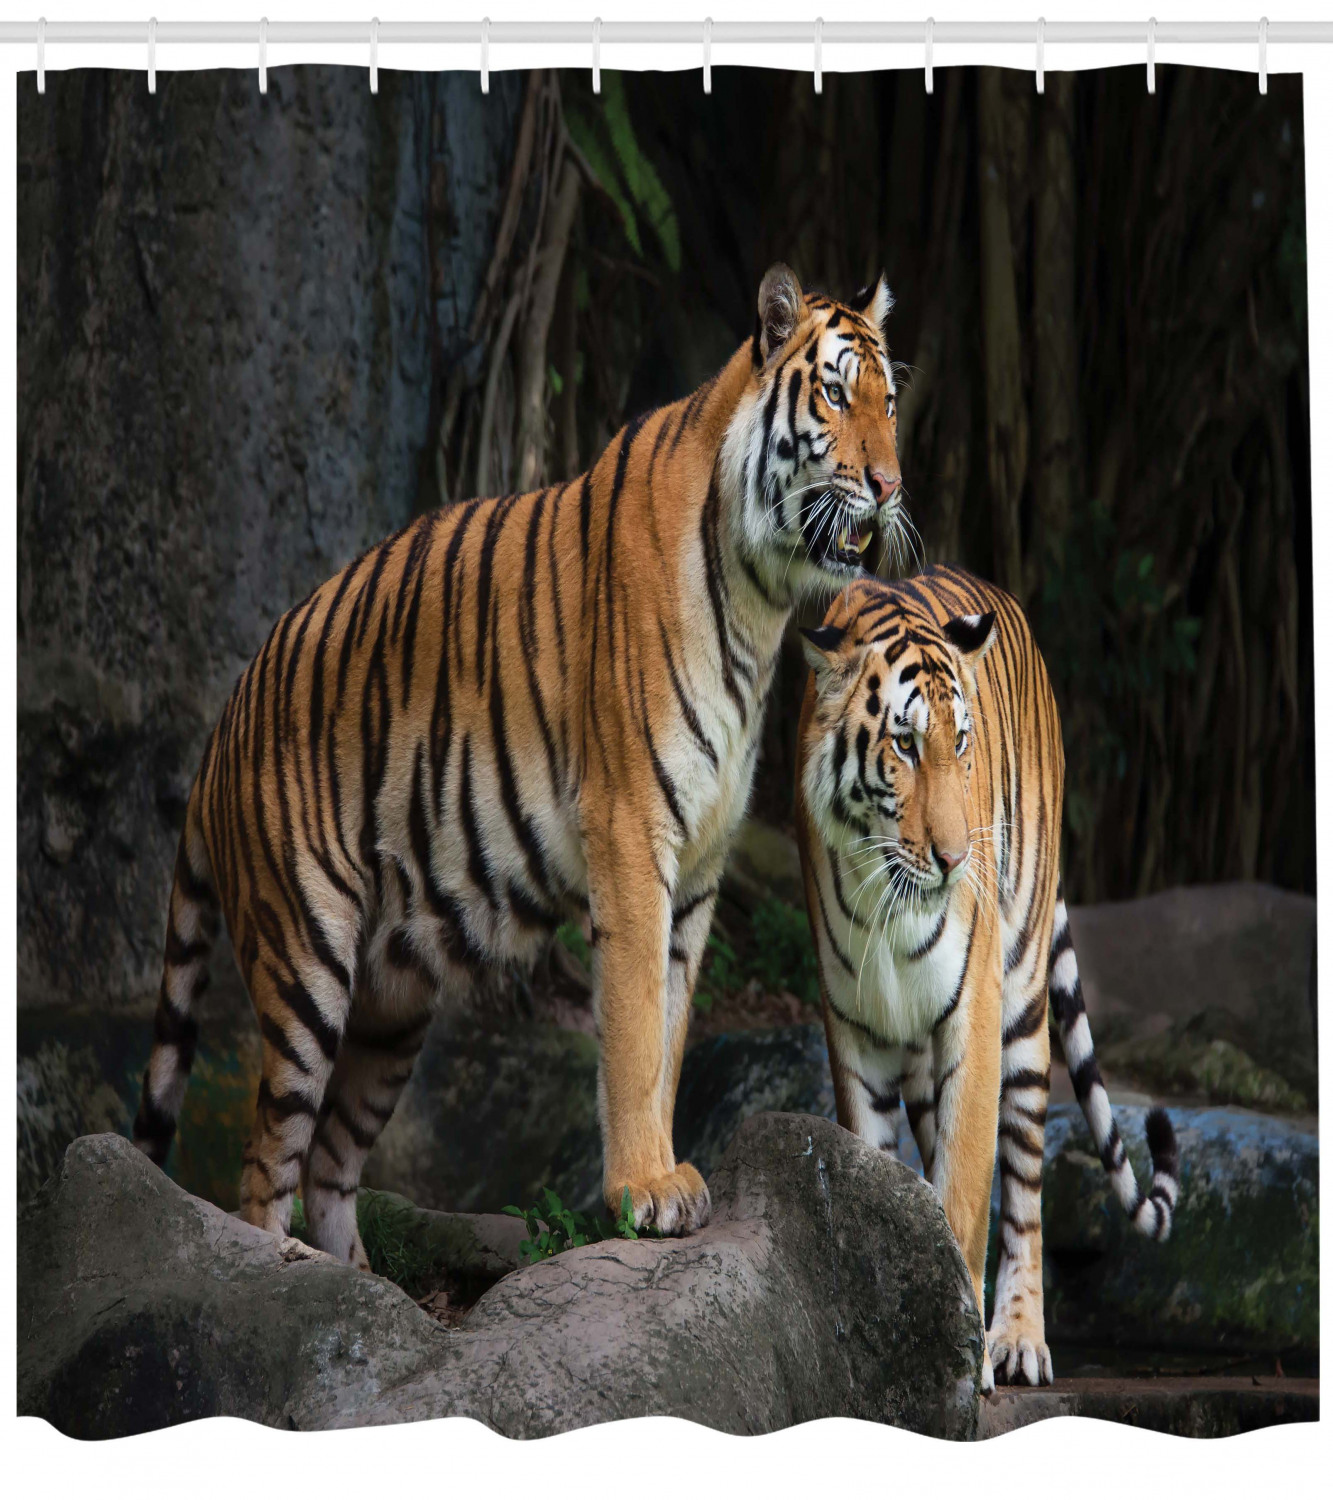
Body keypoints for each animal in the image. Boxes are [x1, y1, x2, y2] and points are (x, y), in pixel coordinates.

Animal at [133, 262, 907, 1264]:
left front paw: (666, 1174)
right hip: (305, 957)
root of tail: (221, 728)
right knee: (267, 1165)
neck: (761, 600)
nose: (889, 484)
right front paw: (644, 1190)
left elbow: (671, 1029)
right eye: (837, 394)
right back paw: (283, 1271)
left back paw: (358, 1278)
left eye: (890, 402)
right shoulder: (630, 833)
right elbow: (632, 1028)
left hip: (393, 1004)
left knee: (329, 1162)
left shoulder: (698, 866)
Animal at [794, 563, 1181, 1391]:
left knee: (1024, 1191)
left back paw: (1017, 1340)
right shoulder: (854, 1034)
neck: (885, 897)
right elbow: (877, 1182)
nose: (952, 860)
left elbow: (967, 1195)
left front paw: (957, 1354)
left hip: (1023, 1007)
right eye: (903, 745)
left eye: (960, 742)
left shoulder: (969, 1019)